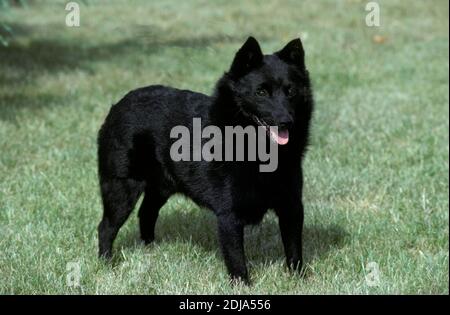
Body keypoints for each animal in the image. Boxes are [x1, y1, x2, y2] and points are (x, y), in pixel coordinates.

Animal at [98, 37, 312, 284]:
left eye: (291, 91)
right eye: (260, 92)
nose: (286, 121)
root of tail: (117, 106)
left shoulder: (291, 207)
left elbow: (294, 251)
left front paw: (300, 280)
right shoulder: (229, 216)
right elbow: (236, 259)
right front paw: (243, 285)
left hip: (161, 187)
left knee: (146, 214)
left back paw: (150, 251)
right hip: (120, 189)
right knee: (106, 227)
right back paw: (106, 264)